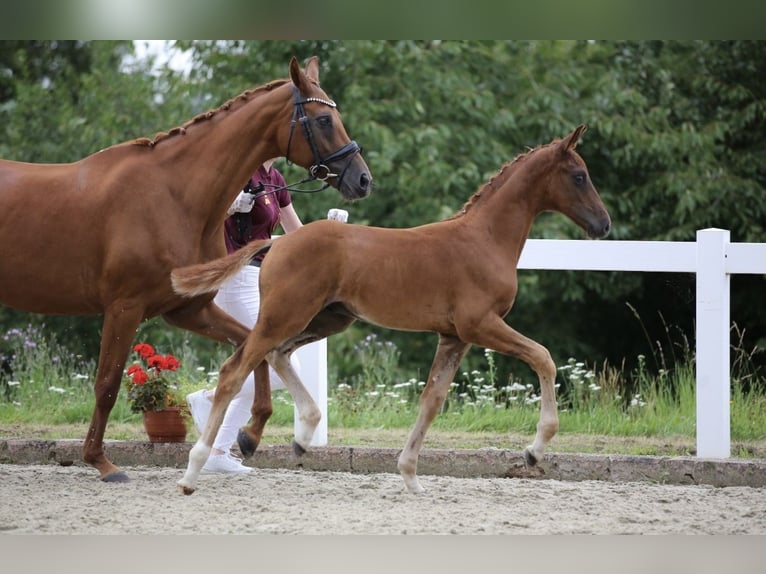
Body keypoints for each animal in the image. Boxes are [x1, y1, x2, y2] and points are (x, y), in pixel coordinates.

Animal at [0, 55, 372, 482]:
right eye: (324, 120)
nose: (363, 179)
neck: (174, 195)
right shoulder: (124, 309)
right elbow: (107, 384)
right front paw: (101, 462)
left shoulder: (188, 309)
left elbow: (251, 350)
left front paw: (251, 434)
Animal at [172, 124, 611, 495]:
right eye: (579, 176)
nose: (603, 225)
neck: (484, 239)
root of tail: (276, 243)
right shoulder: (480, 325)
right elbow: (544, 357)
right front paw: (534, 450)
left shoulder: (453, 337)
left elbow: (432, 401)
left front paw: (411, 477)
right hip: (285, 315)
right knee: (235, 371)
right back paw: (193, 472)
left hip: (328, 318)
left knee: (277, 356)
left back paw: (299, 436)